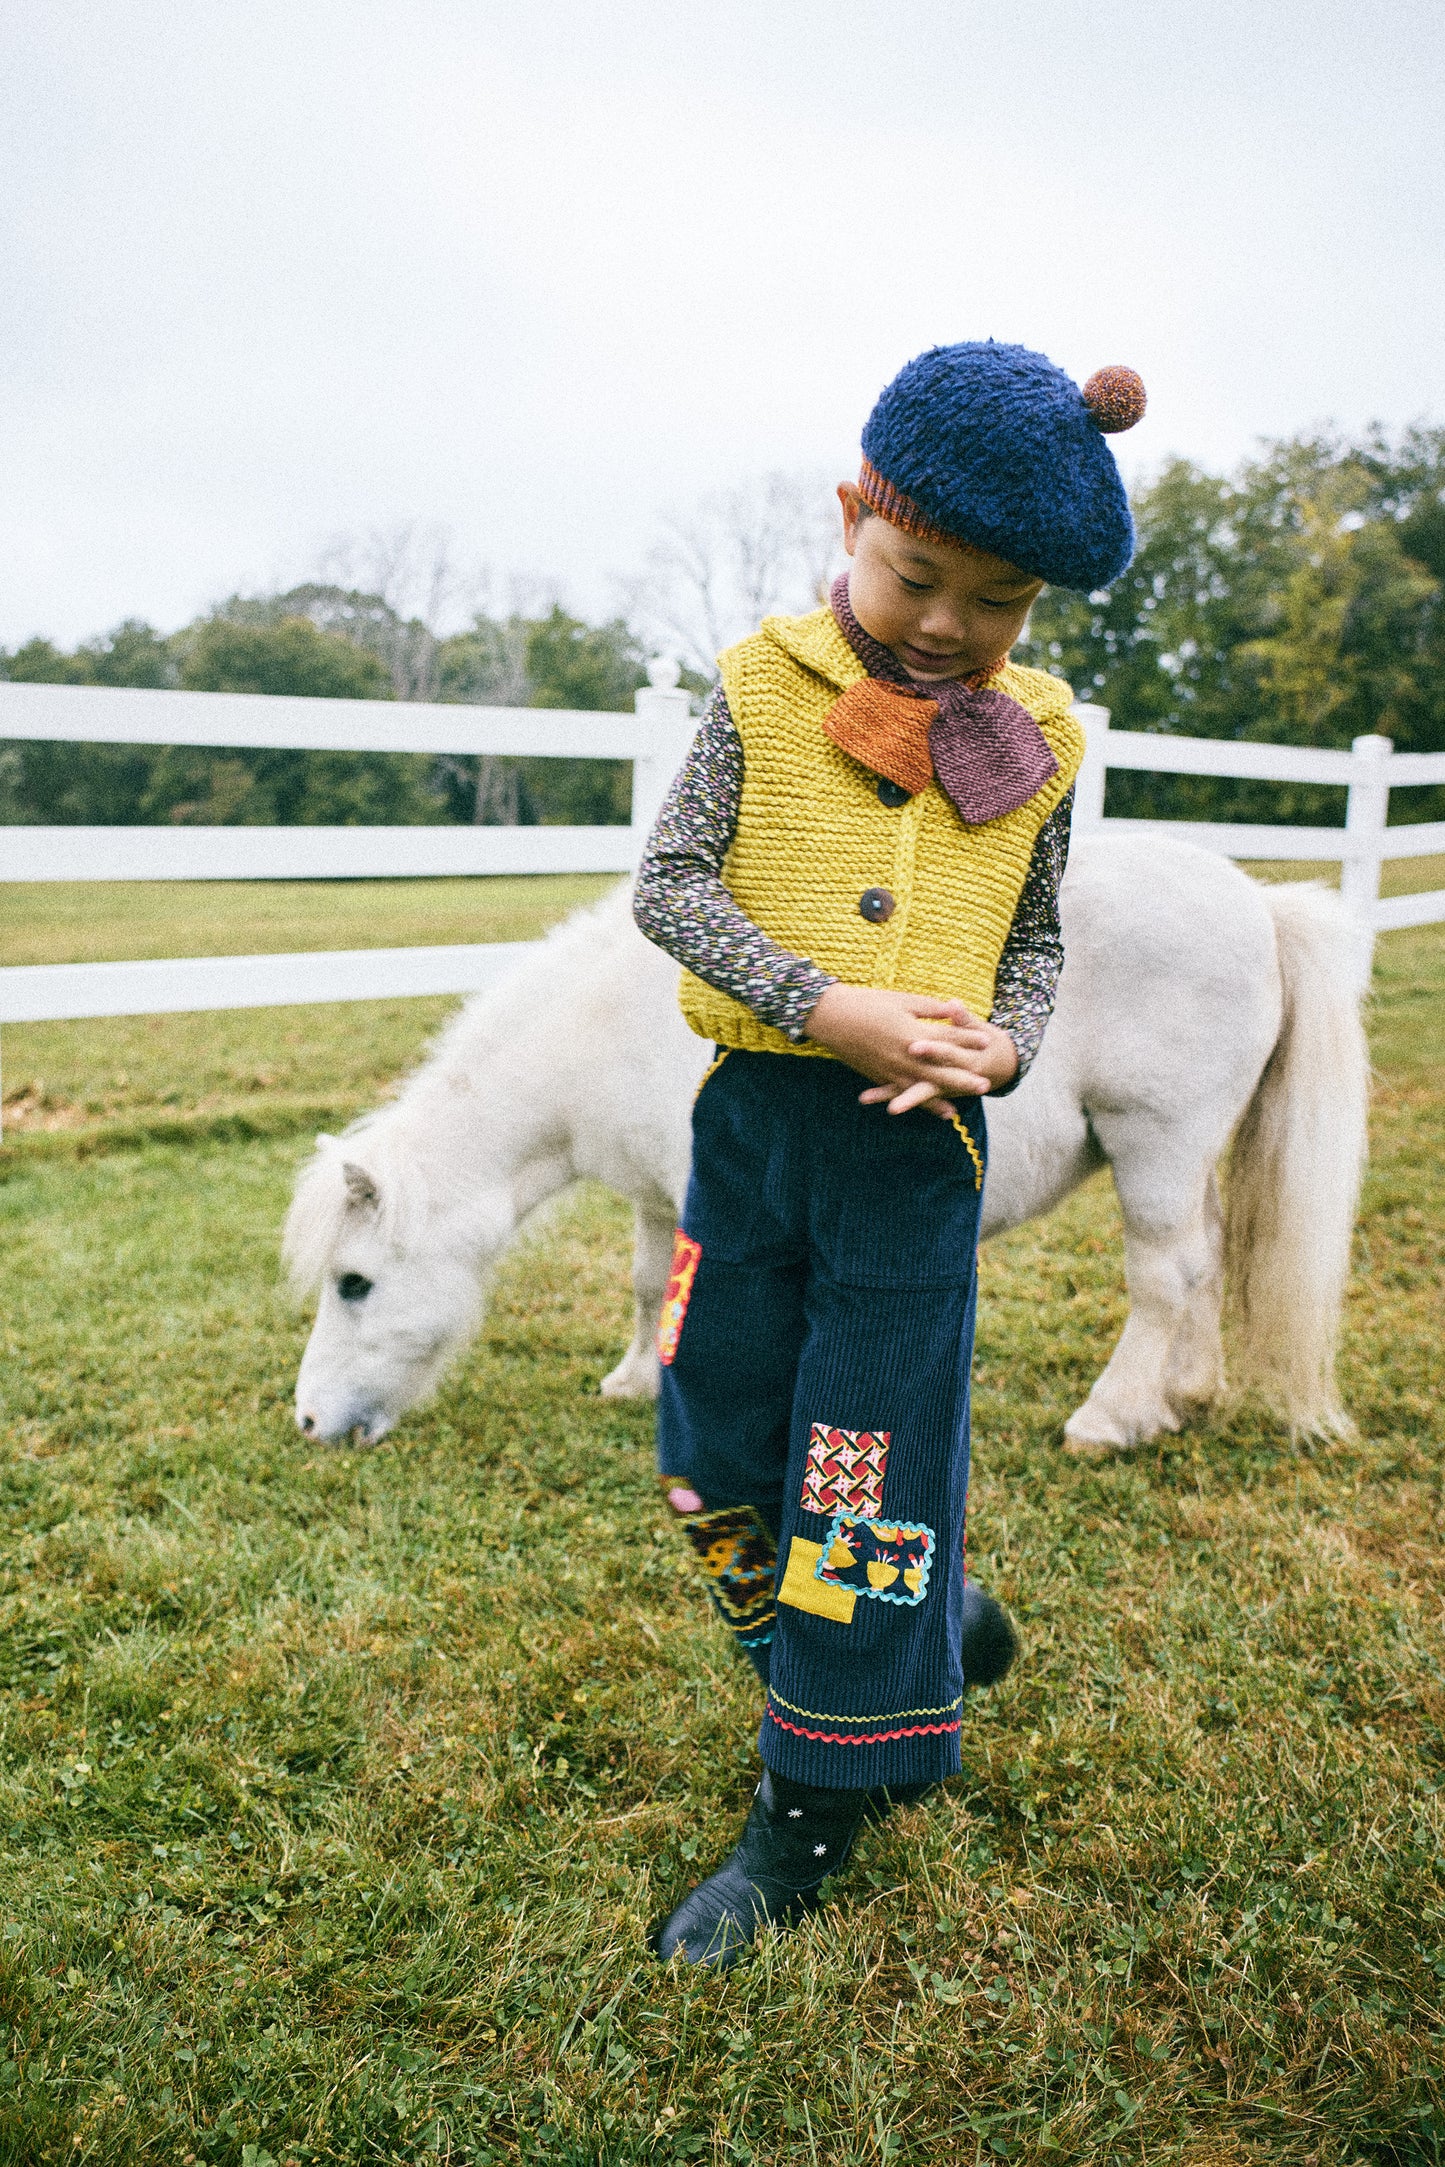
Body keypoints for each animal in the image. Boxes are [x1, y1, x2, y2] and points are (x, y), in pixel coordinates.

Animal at [281, 827, 1369, 1456]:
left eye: (354, 1284)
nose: (308, 1420)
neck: (602, 1027)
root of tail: (1259, 903)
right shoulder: (655, 1196)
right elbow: (646, 1286)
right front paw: (633, 1380)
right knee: (1201, 1262)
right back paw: (1181, 1395)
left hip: (1156, 1149)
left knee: (1161, 1277)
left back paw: (1108, 1420)